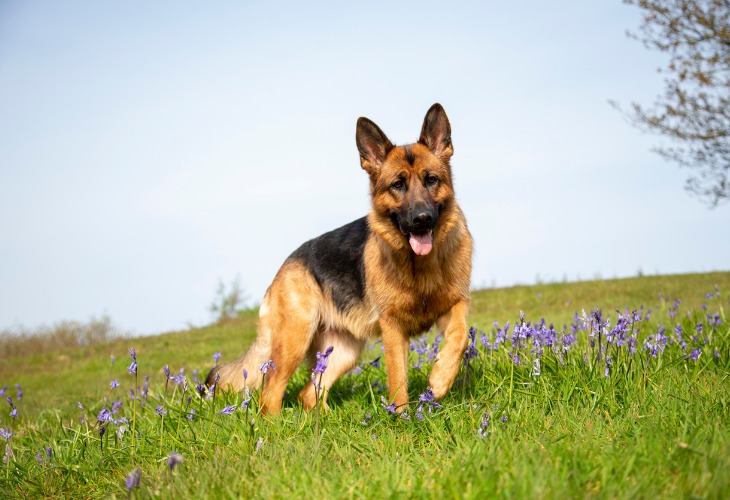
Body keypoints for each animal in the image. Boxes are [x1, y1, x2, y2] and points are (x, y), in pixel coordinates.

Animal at [208, 102, 474, 414]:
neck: (420, 265)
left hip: (343, 352)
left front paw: (441, 379)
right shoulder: (393, 328)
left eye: (431, 180)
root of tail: (285, 265)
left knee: (309, 394)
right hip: (295, 342)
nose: (422, 219)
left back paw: (322, 421)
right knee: (270, 394)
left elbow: (461, 337)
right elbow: (398, 378)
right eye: (397, 185)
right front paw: (402, 416)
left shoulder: (454, 305)